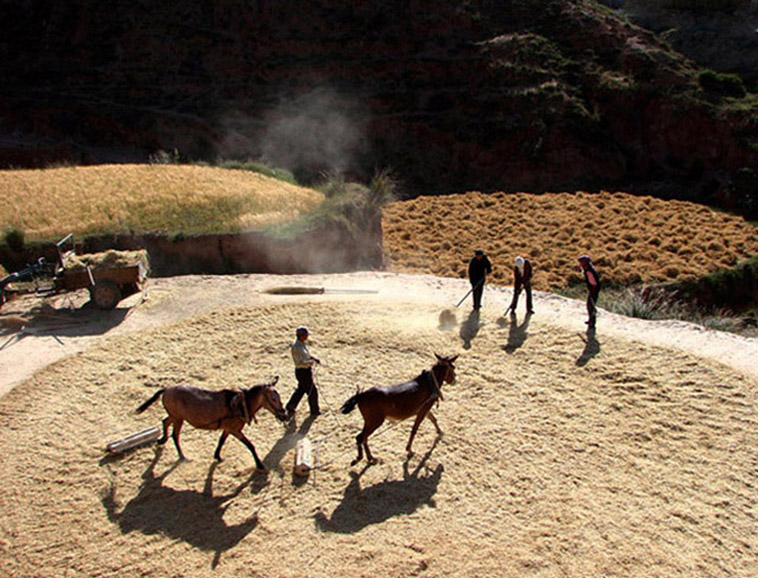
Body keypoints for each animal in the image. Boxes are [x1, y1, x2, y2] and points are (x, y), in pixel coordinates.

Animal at [135, 374, 286, 468]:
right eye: (273, 399)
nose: (284, 414)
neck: (242, 404)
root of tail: (166, 389)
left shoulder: (228, 429)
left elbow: (221, 441)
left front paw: (217, 456)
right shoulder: (235, 430)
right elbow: (250, 445)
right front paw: (260, 465)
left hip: (175, 416)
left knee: (165, 421)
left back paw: (162, 440)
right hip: (178, 419)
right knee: (175, 435)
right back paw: (183, 457)